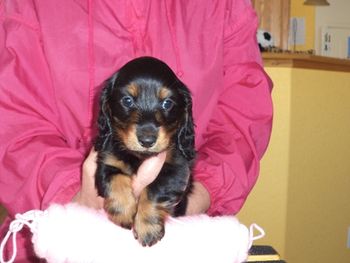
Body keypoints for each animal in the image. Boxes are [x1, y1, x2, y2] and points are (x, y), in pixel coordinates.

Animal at [94, 56, 196, 248]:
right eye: (127, 100)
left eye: (167, 103)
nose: (147, 141)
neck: (140, 157)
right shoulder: (108, 161)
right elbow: (115, 179)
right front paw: (123, 213)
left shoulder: (177, 169)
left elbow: (154, 190)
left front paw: (147, 228)